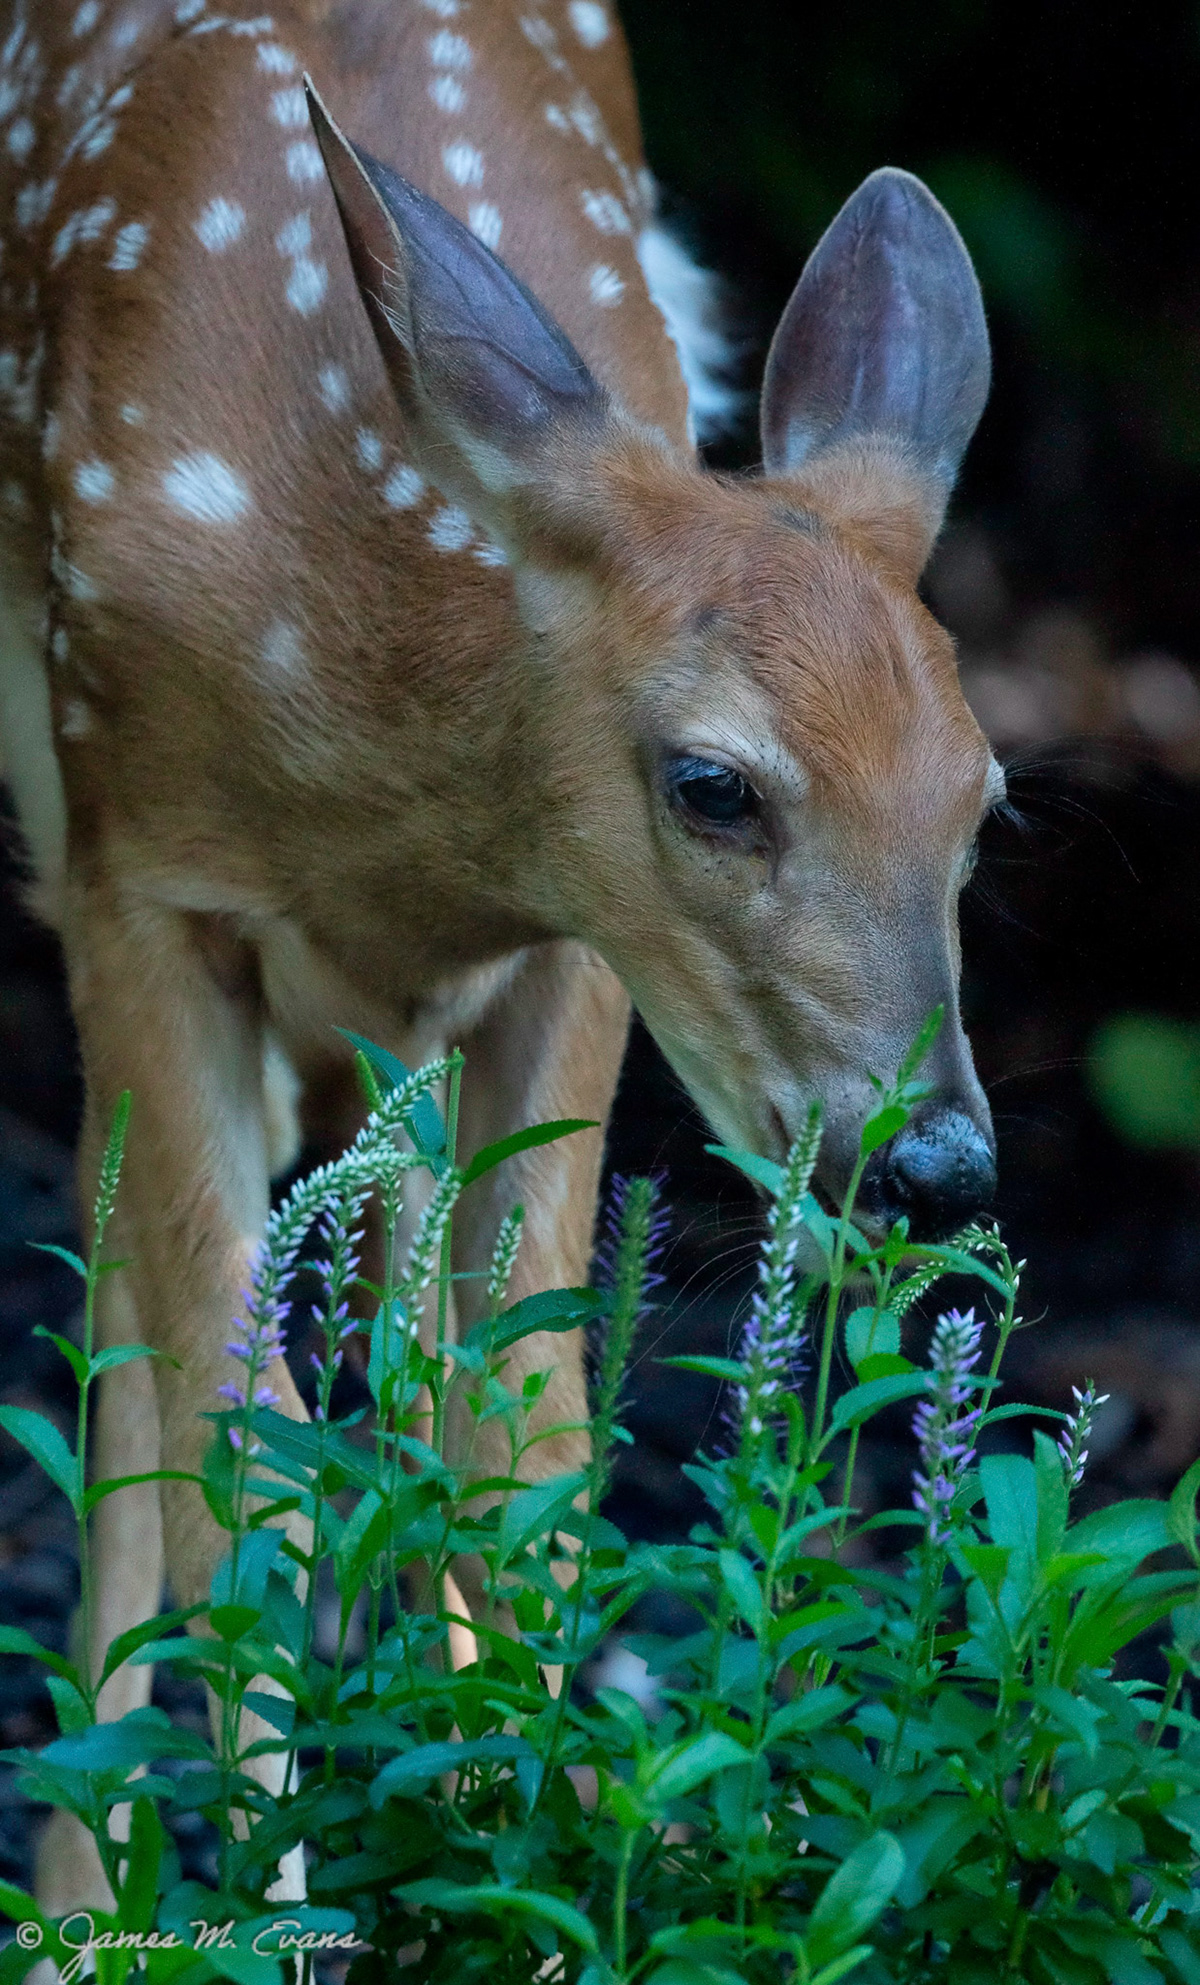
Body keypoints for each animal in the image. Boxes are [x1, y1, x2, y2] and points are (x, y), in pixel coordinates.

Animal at [1, 0, 1003, 1923]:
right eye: (715, 784)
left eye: (985, 797)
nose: (934, 1159)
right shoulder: (133, 866)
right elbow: (236, 1447)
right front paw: (249, 1915)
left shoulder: (579, 948)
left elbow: (520, 1436)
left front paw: (557, 1874)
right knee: (129, 1343)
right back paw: (91, 1889)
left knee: (397, 1323)